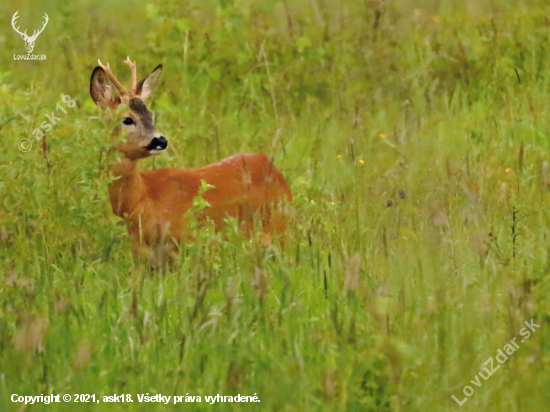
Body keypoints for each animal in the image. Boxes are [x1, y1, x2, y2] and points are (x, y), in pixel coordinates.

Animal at [89, 57, 294, 264]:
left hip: (280, 230)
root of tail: (275, 170)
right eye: (127, 120)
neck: (143, 202)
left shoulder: (185, 243)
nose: (161, 141)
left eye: (151, 115)